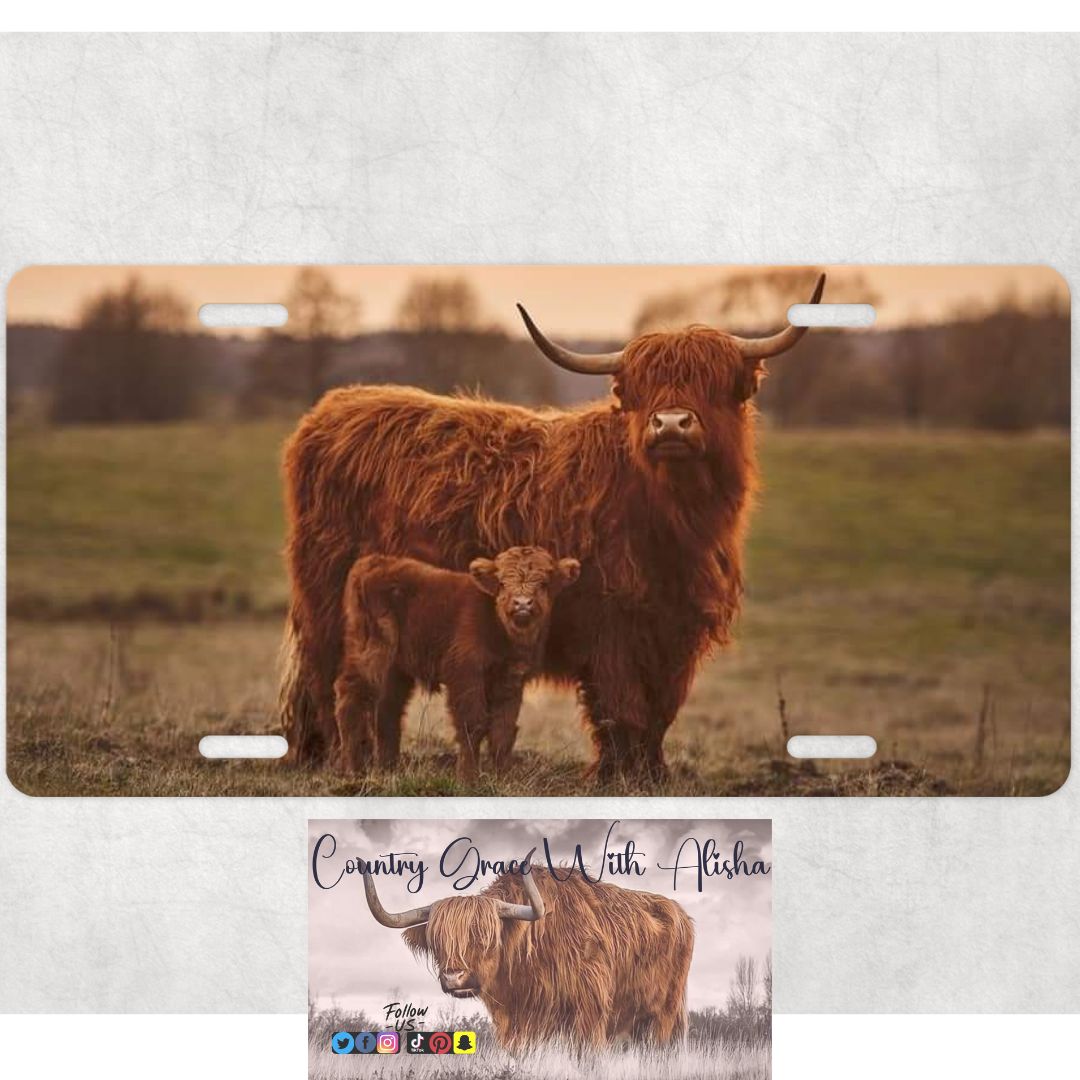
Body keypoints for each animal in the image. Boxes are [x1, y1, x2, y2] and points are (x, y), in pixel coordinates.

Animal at [334, 547, 580, 779]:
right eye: (502, 583)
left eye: (545, 583)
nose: (522, 604)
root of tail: (373, 562)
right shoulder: (466, 675)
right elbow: (473, 725)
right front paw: (468, 779)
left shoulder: (510, 681)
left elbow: (503, 731)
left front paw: (503, 777)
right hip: (372, 651)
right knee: (350, 696)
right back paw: (352, 770)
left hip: (395, 670)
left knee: (387, 711)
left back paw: (388, 770)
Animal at [363, 866, 693, 1050]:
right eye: (437, 941)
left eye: (485, 937)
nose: (454, 977)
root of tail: (681, 914)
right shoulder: (514, 1022)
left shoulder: (590, 1010)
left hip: (665, 1014)